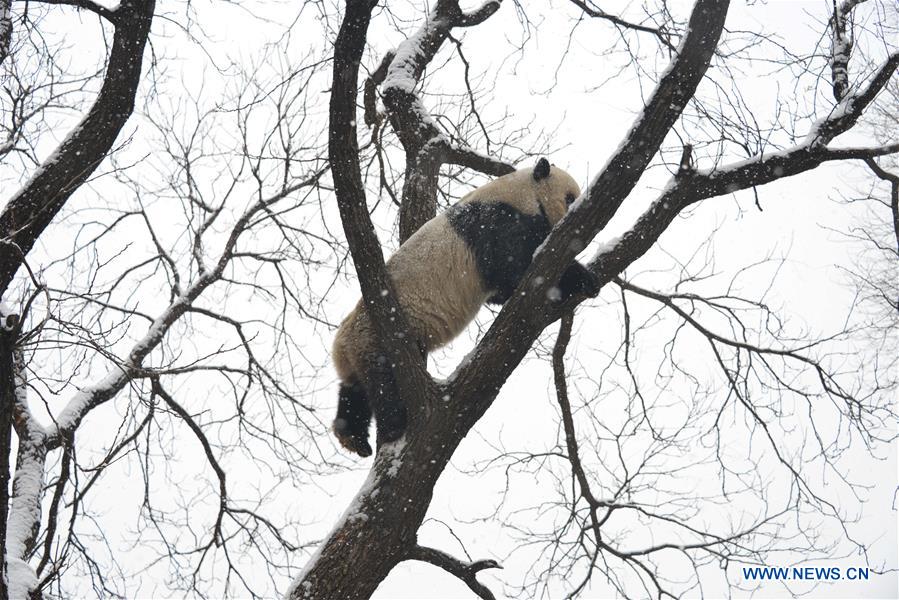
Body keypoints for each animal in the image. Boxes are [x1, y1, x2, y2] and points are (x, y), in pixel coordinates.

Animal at [331, 157, 599, 457]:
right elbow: (517, 269)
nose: (576, 210)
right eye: (570, 197)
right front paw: (583, 278)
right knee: (384, 385)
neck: (522, 192)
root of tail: (342, 344)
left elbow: (502, 290)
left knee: (354, 391)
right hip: (379, 338)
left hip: (360, 348)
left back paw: (352, 438)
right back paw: (394, 427)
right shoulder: (498, 224)